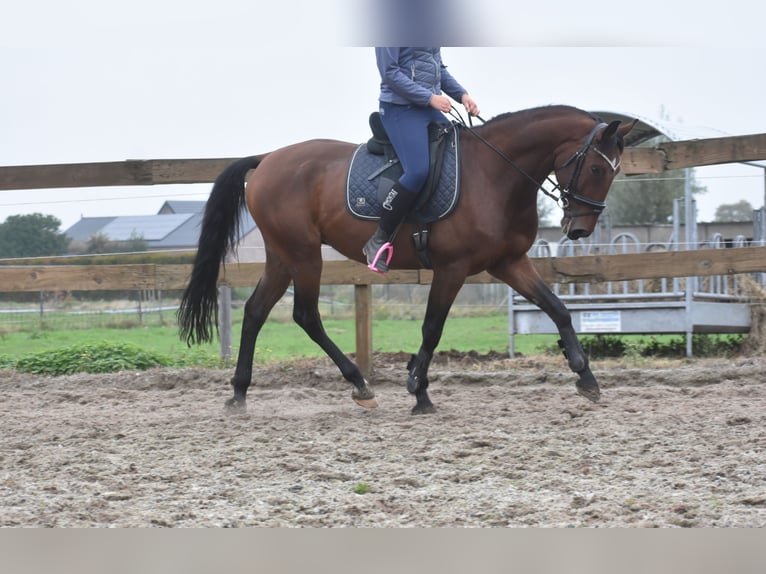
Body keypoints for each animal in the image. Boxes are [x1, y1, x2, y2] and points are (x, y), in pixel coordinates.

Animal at [178, 104, 636, 415]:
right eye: (597, 168)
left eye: (614, 171)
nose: (579, 230)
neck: (495, 175)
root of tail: (268, 159)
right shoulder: (453, 268)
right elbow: (432, 328)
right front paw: (419, 390)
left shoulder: (509, 262)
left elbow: (557, 309)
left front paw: (586, 377)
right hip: (304, 255)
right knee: (305, 314)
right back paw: (359, 384)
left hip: (282, 256)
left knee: (256, 311)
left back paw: (240, 392)